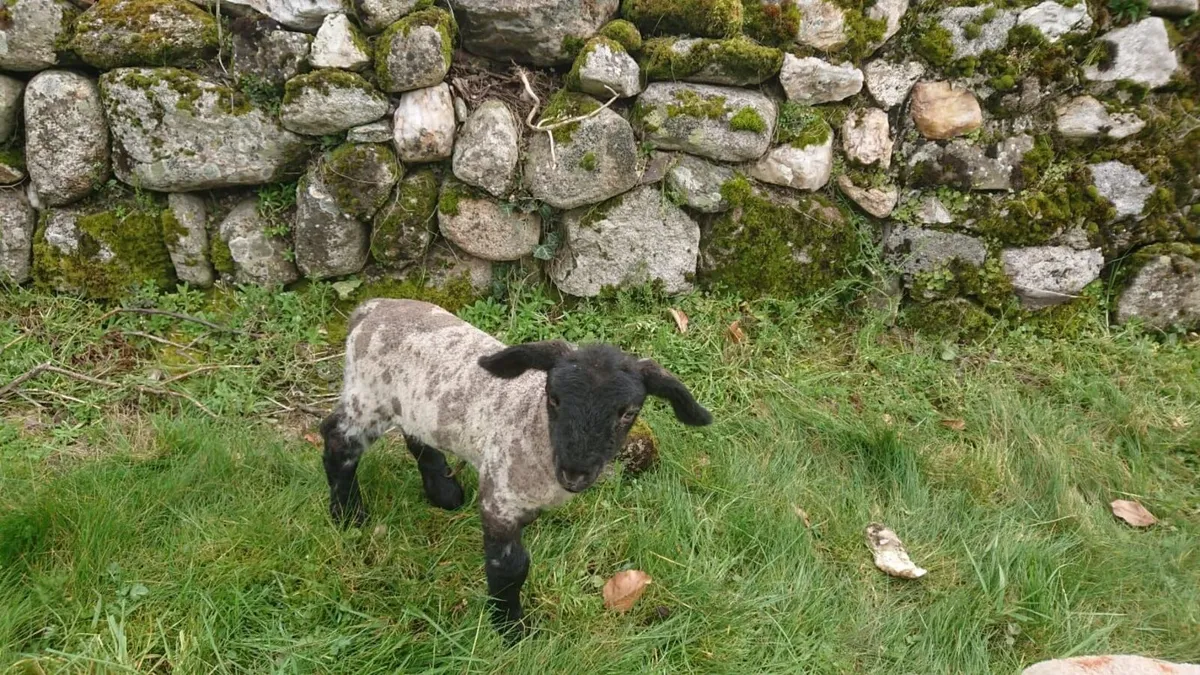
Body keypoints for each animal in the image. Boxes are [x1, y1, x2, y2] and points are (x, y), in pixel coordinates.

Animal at [321, 298, 713, 636]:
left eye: (628, 413)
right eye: (553, 398)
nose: (575, 472)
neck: (534, 427)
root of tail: (372, 307)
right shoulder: (500, 499)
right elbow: (510, 569)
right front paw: (510, 629)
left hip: (415, 403)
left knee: (416, 434)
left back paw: (443, 492)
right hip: (367, 398)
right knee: (337, 440)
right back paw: (348, 515)